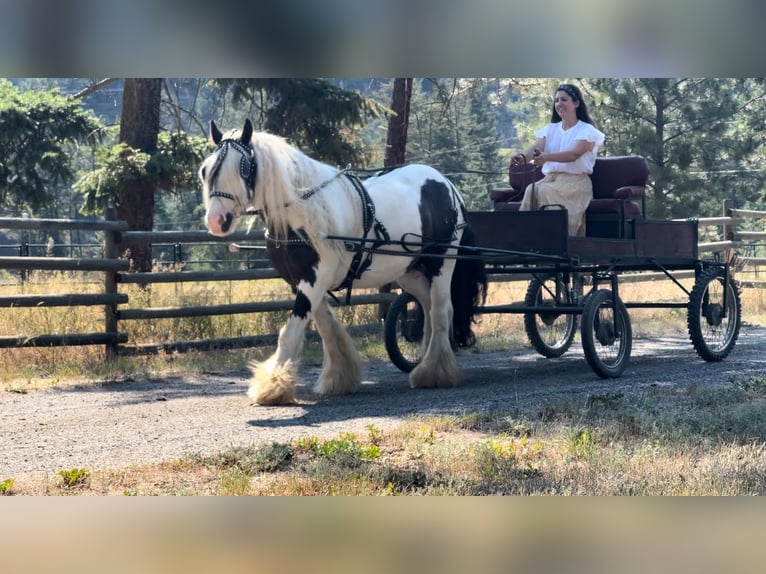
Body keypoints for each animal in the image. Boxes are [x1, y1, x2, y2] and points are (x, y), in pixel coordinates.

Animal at [198, 118, 486, 404]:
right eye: (205, 170)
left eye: (244, 168)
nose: (217, 220)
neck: (303, 212)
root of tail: (446, 183)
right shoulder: (300, 281)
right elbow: (326, 326)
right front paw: (338, 377)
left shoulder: (314, 278)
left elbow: (291, 333)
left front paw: (272, 386)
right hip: (409, 271)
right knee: (427, 306)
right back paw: (426, 361)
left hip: (443, 262)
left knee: (440, 310)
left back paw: (434, 372)